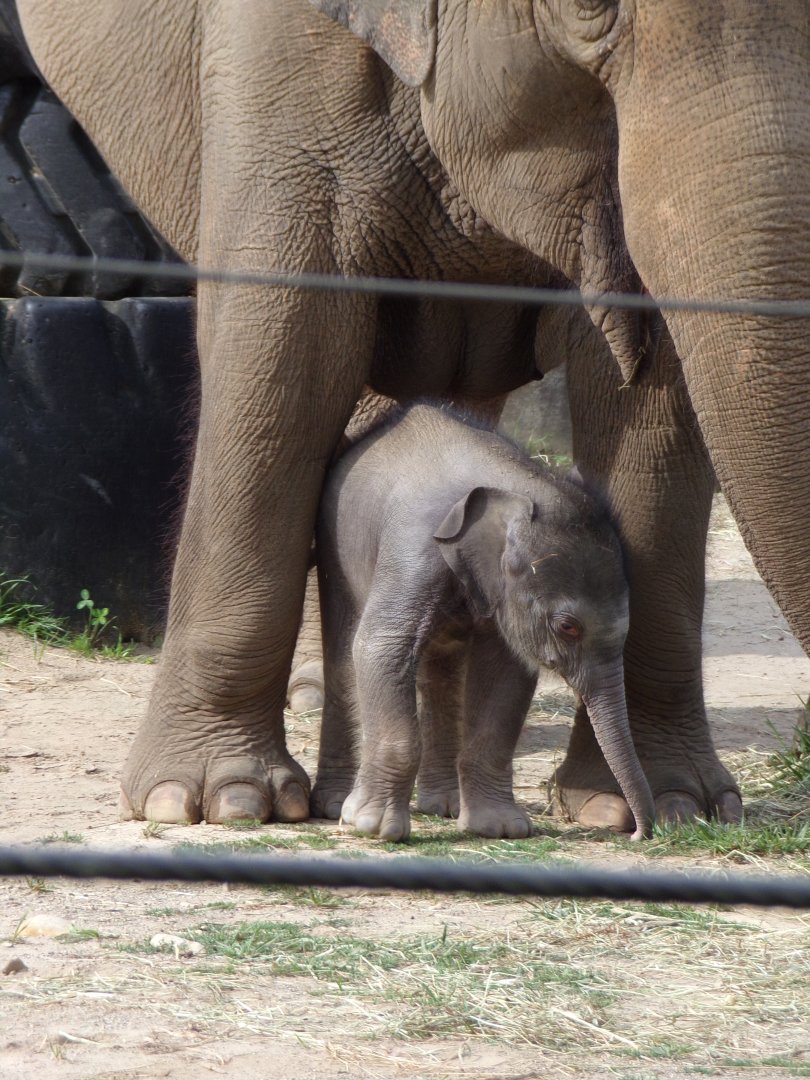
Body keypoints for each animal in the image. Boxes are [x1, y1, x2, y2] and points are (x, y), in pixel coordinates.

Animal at [312, 402, 655, 842]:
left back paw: (443, 806)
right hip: (335, 548)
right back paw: (337, 805)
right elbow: (380, 647)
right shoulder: (414, 546)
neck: (516, 488)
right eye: (568, 627)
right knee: (344, 653)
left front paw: (499, 828)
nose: (637, 834)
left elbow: (506, 673)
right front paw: (373, 827)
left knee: (440, 672)